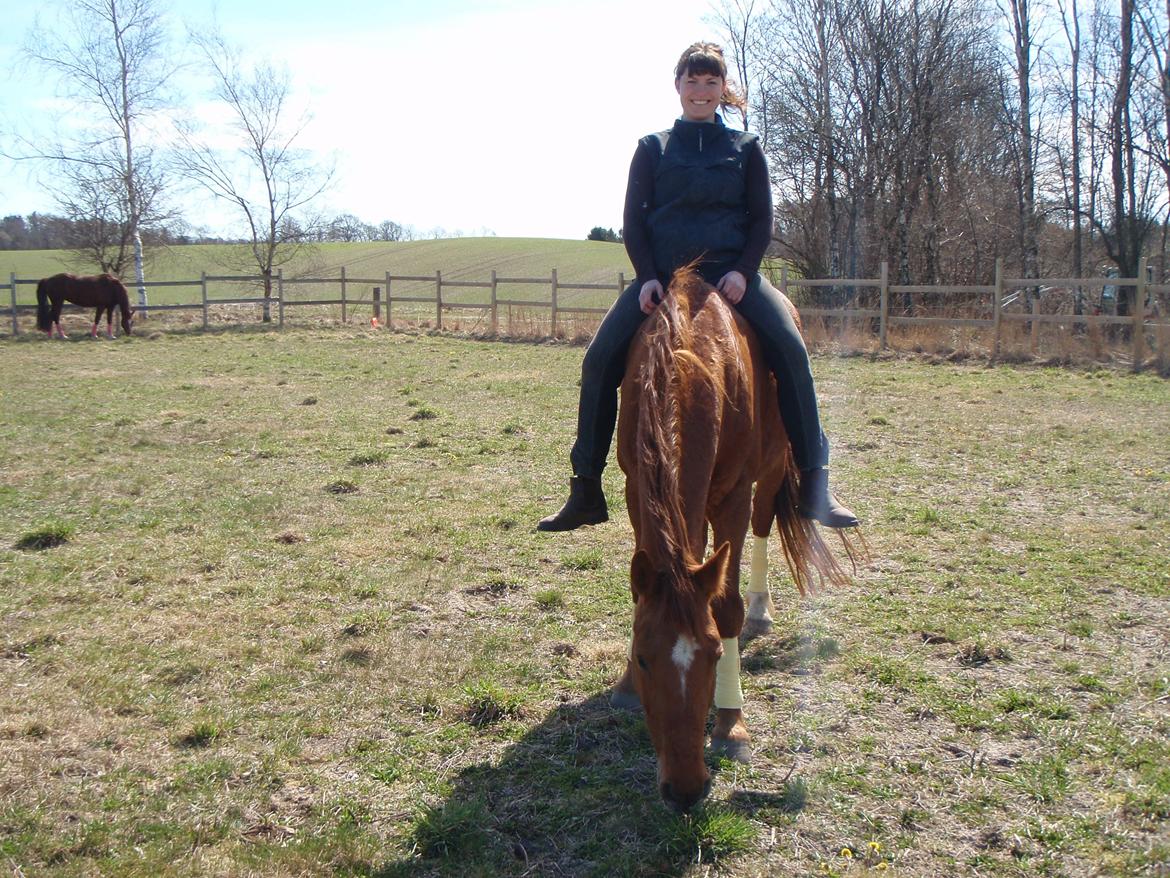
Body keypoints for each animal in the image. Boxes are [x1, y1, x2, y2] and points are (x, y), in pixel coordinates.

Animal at [613, 264, 851, 814]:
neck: (688, 363)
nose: (685, 791)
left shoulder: (734, 497)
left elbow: (725, 606)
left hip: (770, 471)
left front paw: (730, 725)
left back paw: (762, 608)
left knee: (762, 531)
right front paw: (626, 684)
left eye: (715, 656)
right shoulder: (636, 490)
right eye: (643, 657)